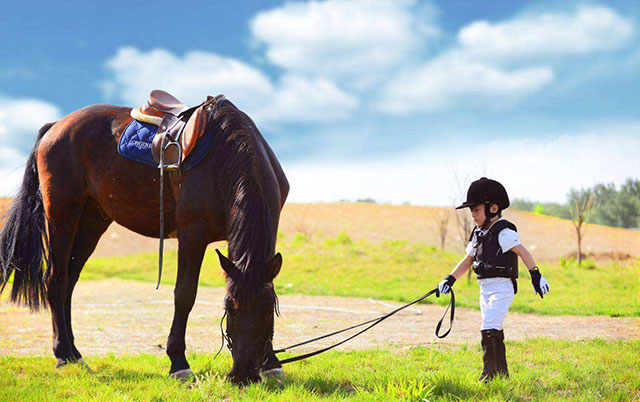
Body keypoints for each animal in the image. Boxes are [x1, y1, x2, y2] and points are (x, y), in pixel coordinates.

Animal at [0, 96, 288, 384]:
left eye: (268, 309)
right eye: (230, 306)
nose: (244, 374)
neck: (227, 154)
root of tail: (55, 126)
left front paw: (272, 363)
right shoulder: (192, 233)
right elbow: (185, 294)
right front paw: (178, 362)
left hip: (92, 221)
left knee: (69, 281)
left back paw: (74, 352)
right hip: (63, 215)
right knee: (55, 279)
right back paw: (62, 353)